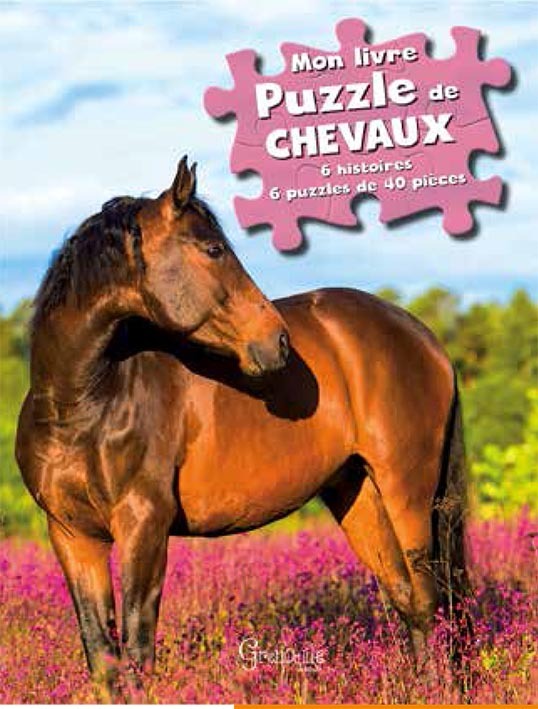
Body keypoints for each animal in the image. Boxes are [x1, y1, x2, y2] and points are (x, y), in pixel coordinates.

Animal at [16, 157, 471, 701]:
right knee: (408, 600)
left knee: (430, 601)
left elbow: (139, 648)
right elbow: (103, 657)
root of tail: (422, 336)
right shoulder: (71, 535)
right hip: (359, 493)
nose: (278, 342)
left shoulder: (144, 527)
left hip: (409, 494)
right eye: (213, 248)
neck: (84, 403)